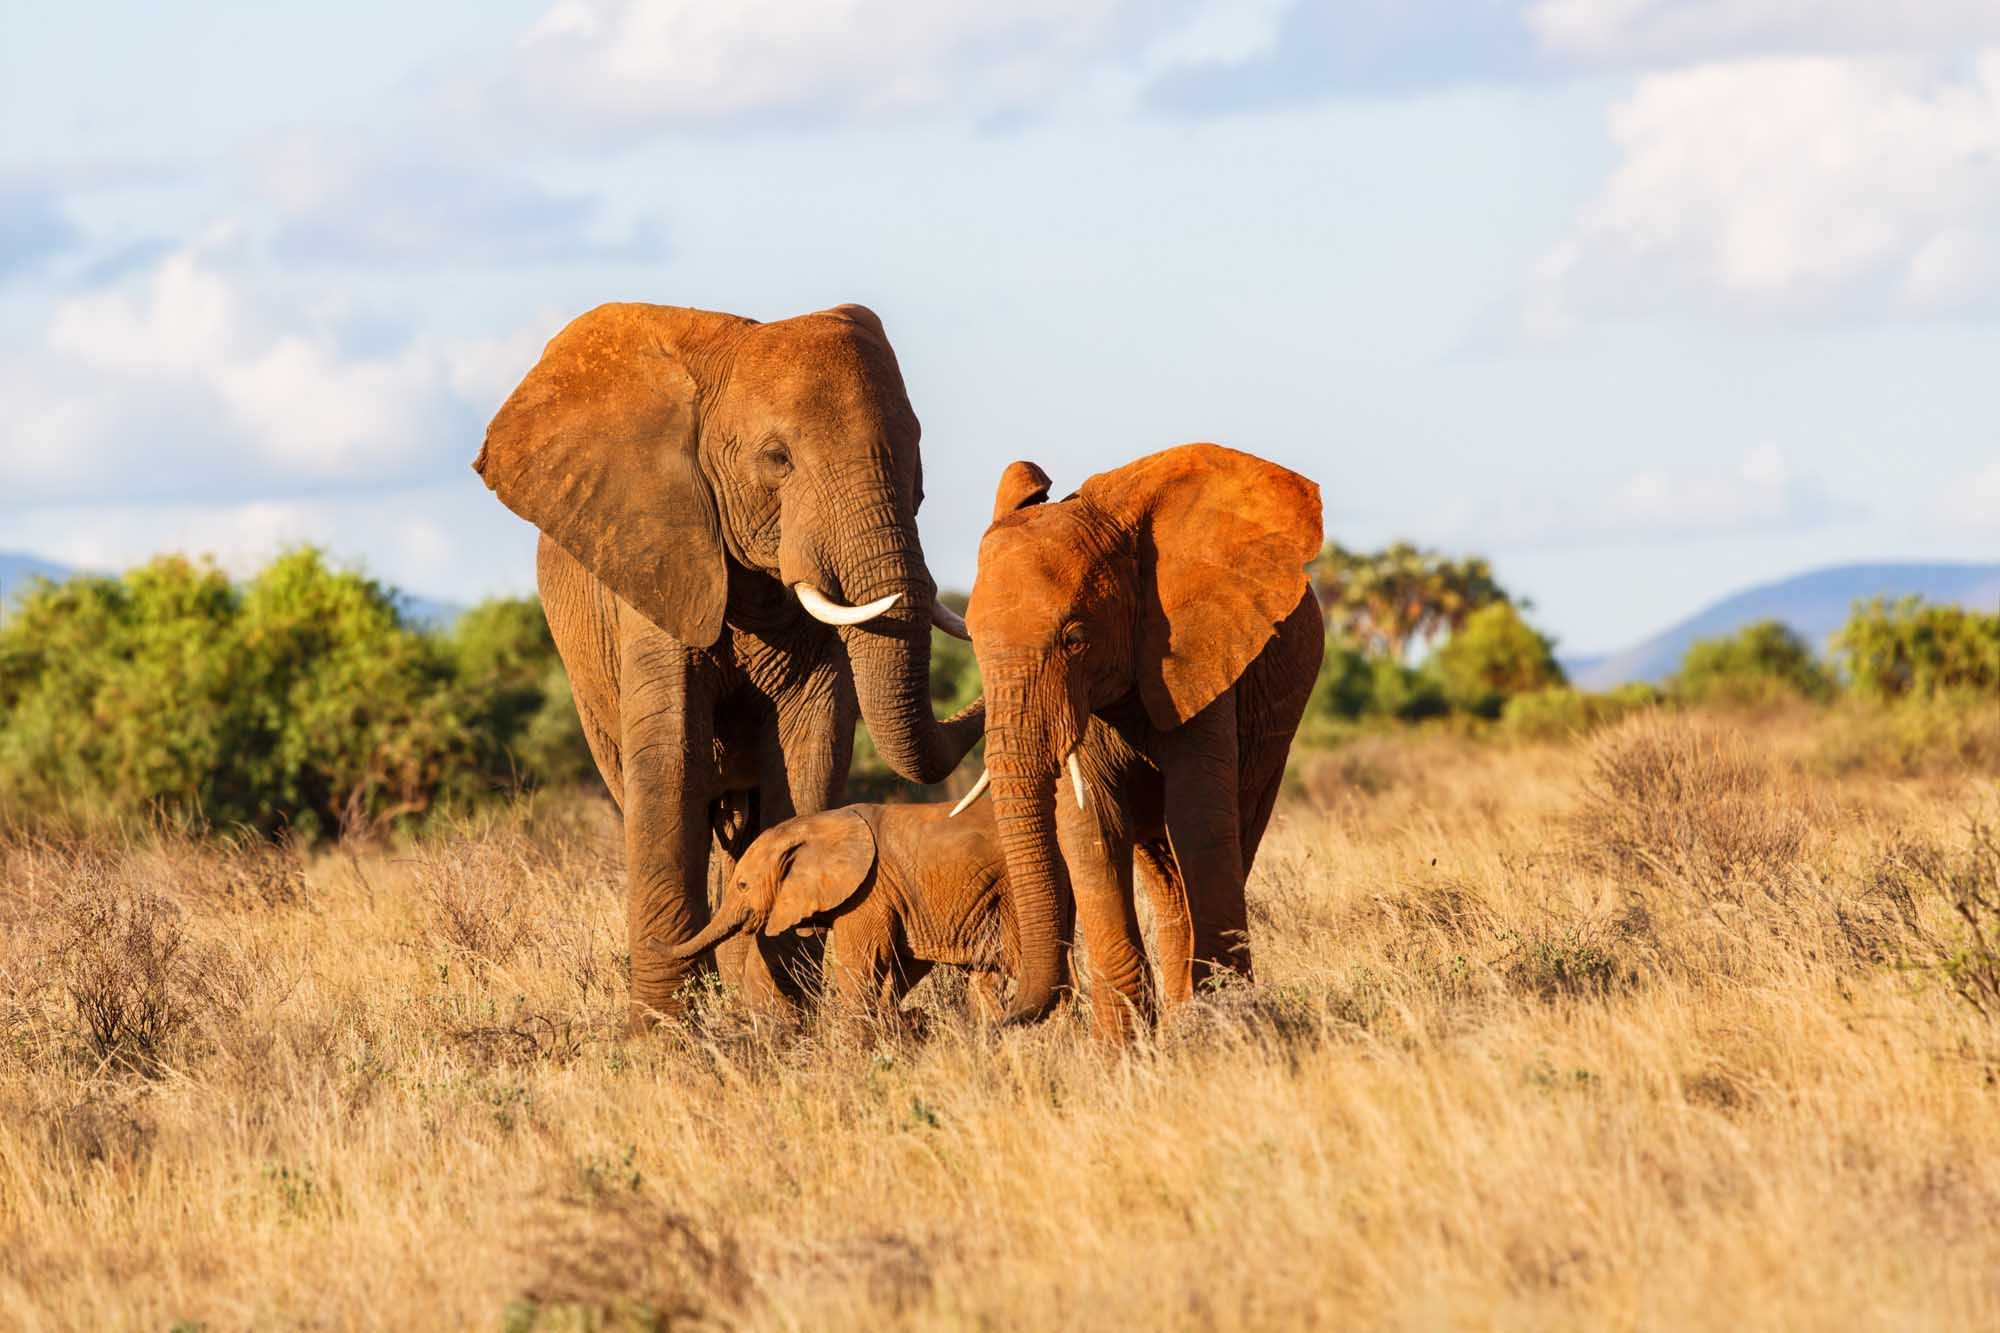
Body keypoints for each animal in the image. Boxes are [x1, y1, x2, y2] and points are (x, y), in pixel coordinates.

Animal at [475, 302, 981, 1028]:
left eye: (917, 455)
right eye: (777, 459)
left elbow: (810, 743)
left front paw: (781, 1012)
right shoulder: (657, 556)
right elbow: (671, 755)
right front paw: (664, 1032)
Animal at [961, 443, 1325, 1025]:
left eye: (1075, 639)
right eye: (970, 637)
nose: (1000, 1010)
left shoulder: (1200, 656)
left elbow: (1199, 818)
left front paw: (1223, 1019)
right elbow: (1091, 828)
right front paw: (1123, 1043)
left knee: (1228, 834)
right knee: (1161, 867)